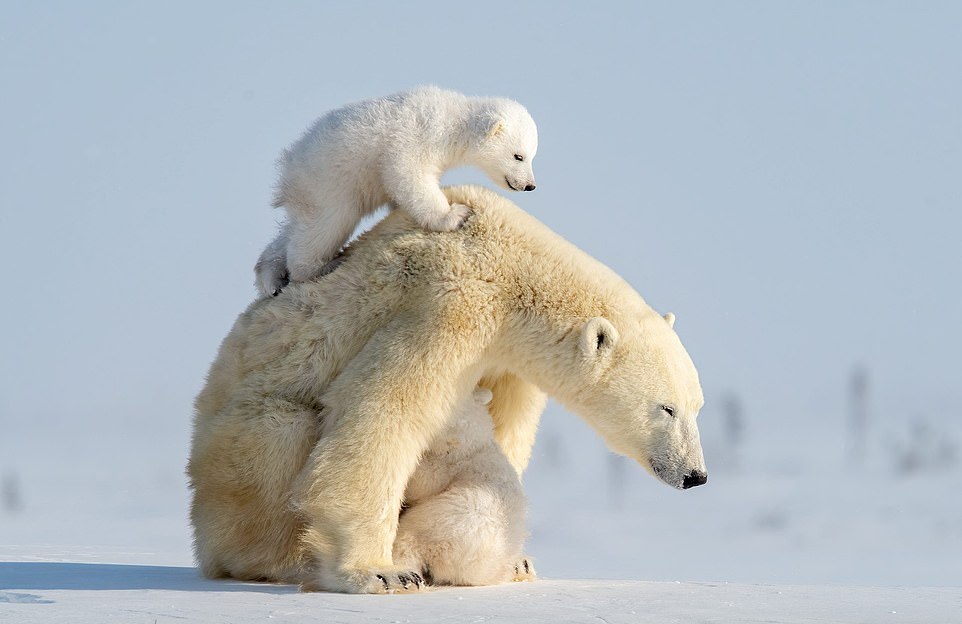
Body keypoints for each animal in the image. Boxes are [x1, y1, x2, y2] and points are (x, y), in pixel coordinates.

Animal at [188, 184, 700, 596]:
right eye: (666, 408)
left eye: (696, 406)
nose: (695, 475)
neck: (510, 262)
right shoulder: (450, 302)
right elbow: (380, 409)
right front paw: (378, 572)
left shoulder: (503, 356)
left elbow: (504, 422)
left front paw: (517, 558)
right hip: (237, 450)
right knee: (282, 434)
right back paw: (287, 560)